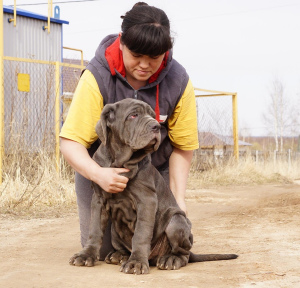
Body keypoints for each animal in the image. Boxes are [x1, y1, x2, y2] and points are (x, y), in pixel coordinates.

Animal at [69, 98, 238, 274]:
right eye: (133, 115)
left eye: (152, 116)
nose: (156, 126)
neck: (120, 161)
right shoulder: (99, 200)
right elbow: (94, 229)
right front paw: (86, 255)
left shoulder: (147, 201)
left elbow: (141, 233)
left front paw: (136, 262)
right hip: (115, 231)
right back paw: (119, 255)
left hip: (176, 221)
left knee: (183, 253)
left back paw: (170, 259)